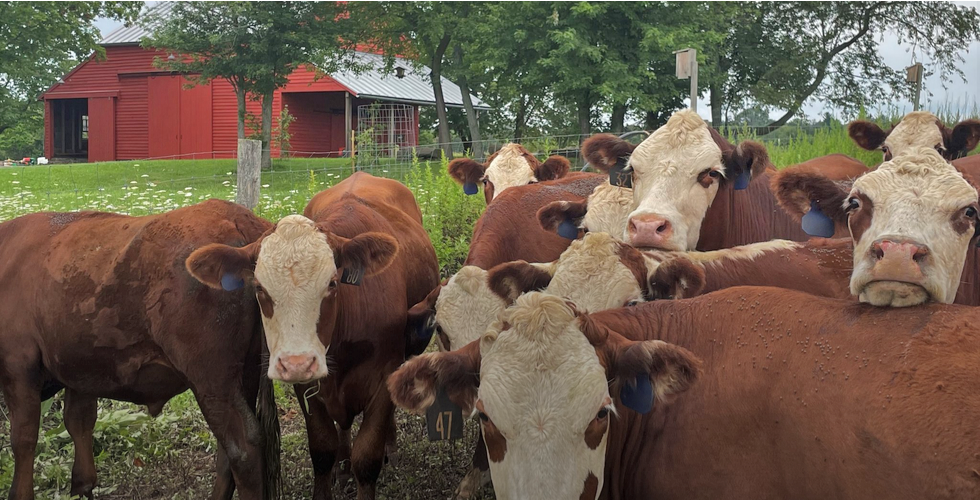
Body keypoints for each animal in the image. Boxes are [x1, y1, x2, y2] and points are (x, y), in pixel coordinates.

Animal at [0, 200, 278, 500]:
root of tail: (237, 215)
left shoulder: (18, 365)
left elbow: (24, 438)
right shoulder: (80, 368)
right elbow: (78, 422)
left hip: (212, 379)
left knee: (242, 448)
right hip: (245, 373)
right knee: (228, 454)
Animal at [186, 172, 439, 500]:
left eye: (332, 283)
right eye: (259, 287)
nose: (297, 363)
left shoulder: (385, 374)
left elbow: (368, 457)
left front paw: (377, 453)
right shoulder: (308, 389)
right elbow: (322, 450)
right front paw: (336, 468)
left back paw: (390, 447)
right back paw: (342, 467)